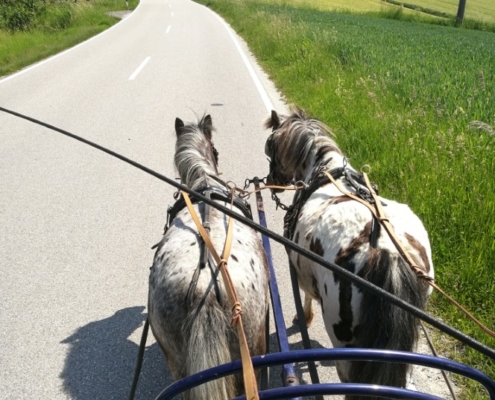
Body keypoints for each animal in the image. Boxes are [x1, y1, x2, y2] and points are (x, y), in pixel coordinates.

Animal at [264, 108, 434, 398]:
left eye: (271, 147)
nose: (271, 183)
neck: (324, 169)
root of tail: (387, 252)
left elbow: (305, 295)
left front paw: (302, 317)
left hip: (343, 341)